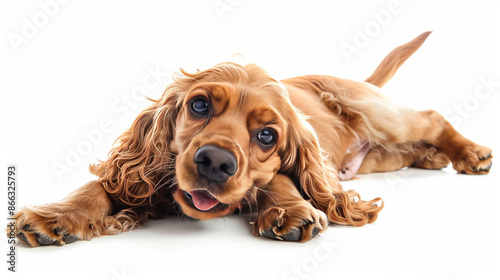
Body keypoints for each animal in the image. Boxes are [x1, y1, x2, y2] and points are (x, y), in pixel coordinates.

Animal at [10, 31, 492, 246]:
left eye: (266, 135)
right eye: (199, 105)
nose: (214, 162)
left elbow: (279, 178)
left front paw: (289, 211)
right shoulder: (140, 176)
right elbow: (97, 186)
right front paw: (58, 216)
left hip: (380, 115)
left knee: (430, 118)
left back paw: (470, 153)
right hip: (378, 157)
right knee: (412, 147)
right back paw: (433, 159)